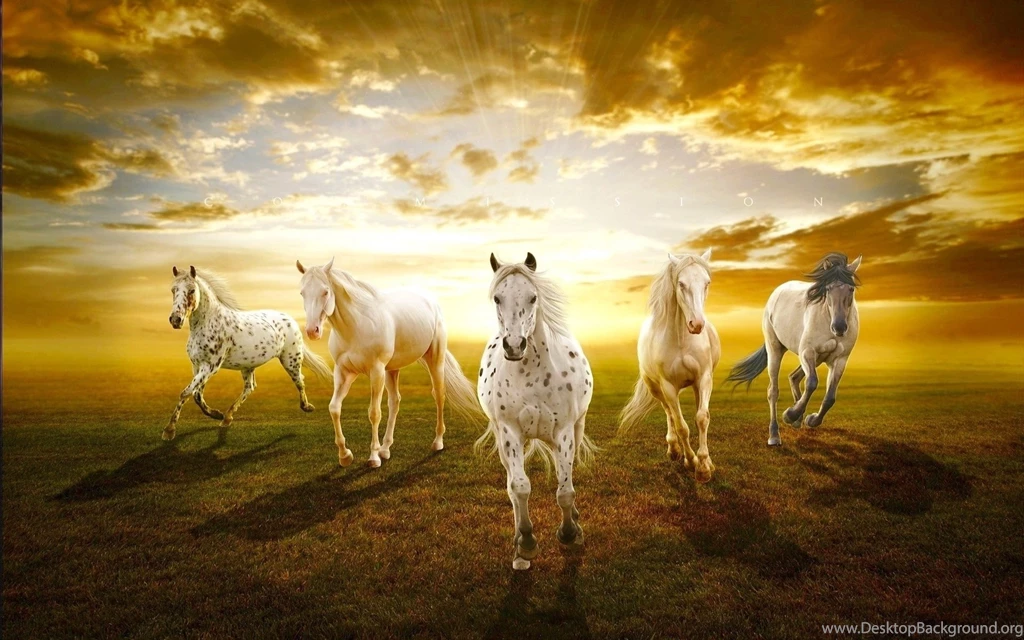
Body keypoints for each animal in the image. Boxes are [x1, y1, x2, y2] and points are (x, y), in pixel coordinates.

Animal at [163, 265, 331, 441]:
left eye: (191, 290)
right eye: (173, 290)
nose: (175, 320)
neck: (208, 323)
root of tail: (291, 320)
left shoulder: (210, 367)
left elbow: (186, 393)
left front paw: (169, 430)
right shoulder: (197, 366)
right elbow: (196, 394)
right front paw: (217, 414)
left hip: (291, 360)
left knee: (299, 380)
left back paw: (307, 407)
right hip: (248, 366)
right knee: (250, 387)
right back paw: (227, 418)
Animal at [296, 257, 480, 468]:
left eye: (325, 291)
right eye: (302, 293)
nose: (312, 331)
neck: (356, 326)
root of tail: (431, 302)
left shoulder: (376, 371)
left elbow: (374, 413)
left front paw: (373, 458)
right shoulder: (343, 372)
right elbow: (334, 408)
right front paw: (345, 455)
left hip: (435, 360)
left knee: (439, 394)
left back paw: (437, 442)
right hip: (392, 370)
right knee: (395, 402)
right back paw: (386, 449)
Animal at [476, 252, 597, 570]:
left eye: (532, 297)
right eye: (497, 298)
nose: (514, 345)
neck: (531, 374)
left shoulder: (563, 431)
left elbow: (565, 490)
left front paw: (569, 533)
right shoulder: (510, 433)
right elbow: (519, 488)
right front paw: (527, 543)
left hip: (573, 431)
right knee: (511, 488)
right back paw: (519, 546)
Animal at [619, 250, 721, 483]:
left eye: (707, 283)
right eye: (681, 284)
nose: (697, 324)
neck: (682, 341)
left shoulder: (704, 378)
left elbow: (702, 418)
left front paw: (705, 467)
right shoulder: (668, 387)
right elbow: (681, 426)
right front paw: (691, 462)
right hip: (655, 388)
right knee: (669, 413)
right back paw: (674, 450)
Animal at [726, 253, 862, 446]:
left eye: (850, 289)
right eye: (828, 289)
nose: (840, 327)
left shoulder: (840, 360)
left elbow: (830, 397)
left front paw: (810, 419)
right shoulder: (807, 352)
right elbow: (812, 383)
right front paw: (790, 415)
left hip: (818, 358)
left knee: (794, 377)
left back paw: (797, 419)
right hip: (776, 349)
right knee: (773, 391)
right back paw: (775, 435)